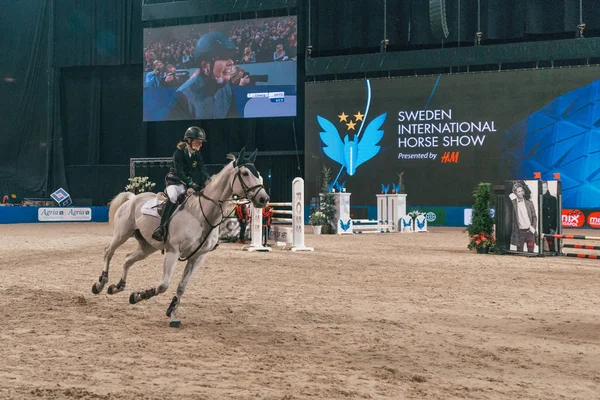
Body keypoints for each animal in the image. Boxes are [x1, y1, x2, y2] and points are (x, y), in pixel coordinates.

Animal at [90, 148, 268, 326]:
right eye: (245, 173)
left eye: (258, 174)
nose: (264, 199)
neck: (202, 214)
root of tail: (133, 198)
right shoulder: (173, 251)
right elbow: (163, 285)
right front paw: (140, 295)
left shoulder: (197, 257)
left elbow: (181, 287)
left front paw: (170, 312)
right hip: (122, 234)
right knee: (109, 252)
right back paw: (101, 283)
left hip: (147, 246)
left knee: (127, 259)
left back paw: (117, 287)